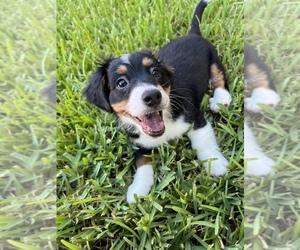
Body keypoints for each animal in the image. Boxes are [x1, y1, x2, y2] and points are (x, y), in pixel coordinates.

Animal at [84, 0, 232, 202]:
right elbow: (142, 162)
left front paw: (215, 164)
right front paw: (138, 189)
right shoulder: (140, 141)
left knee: (219, 78)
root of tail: (193, 34)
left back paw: (221, 99)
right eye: (121, 83)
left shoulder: (196, 118)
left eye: (155, 73)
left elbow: (204, 142)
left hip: (214, 59)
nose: (153, 96)